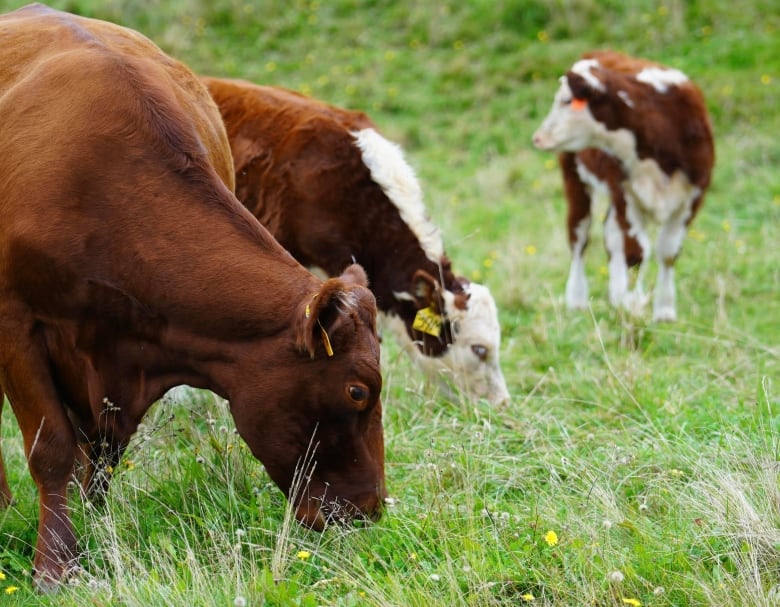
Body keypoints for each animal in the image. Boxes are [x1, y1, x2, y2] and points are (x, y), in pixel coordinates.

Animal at [0, 2, 386, 588]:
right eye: (358, 391)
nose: (371, 510)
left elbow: (102, 457)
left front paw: (93, 534)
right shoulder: (15, 324)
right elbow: (53, 448)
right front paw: (54, 566)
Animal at [532, 51, 716, 324]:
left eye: (566, 100)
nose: (538, 137)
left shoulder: (693, 195)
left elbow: (668, 252)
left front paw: (664, 310)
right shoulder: (623, 191)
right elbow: (636, 253)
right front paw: (634, 307)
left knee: (611, 235)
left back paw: (618, 296)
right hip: (574, 175)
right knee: (579, 236)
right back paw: (577, 299)